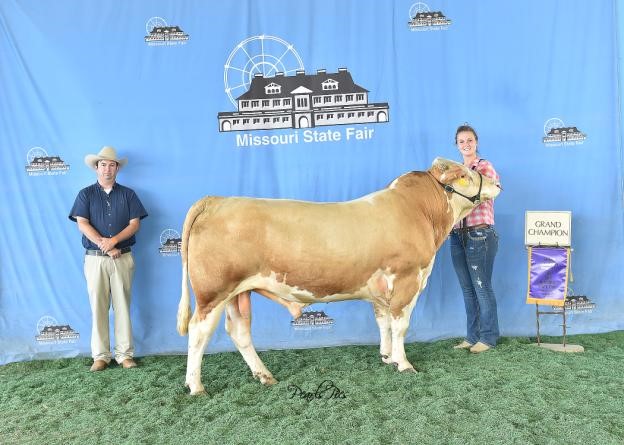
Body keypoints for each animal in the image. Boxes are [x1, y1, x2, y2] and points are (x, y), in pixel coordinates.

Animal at [177, 158, 502, 394]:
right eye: (468, 174)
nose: (497, 182)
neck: (420, 212)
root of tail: (216, 200)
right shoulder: (407, 279)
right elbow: (400, 326)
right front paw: (404, 364)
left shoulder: (379, 289)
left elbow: (383, 322)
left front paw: (386, 357)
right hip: (213, 291)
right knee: (198, 332)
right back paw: (196, 386)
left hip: (237, 292)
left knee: (239, 331)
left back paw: (264, 375)